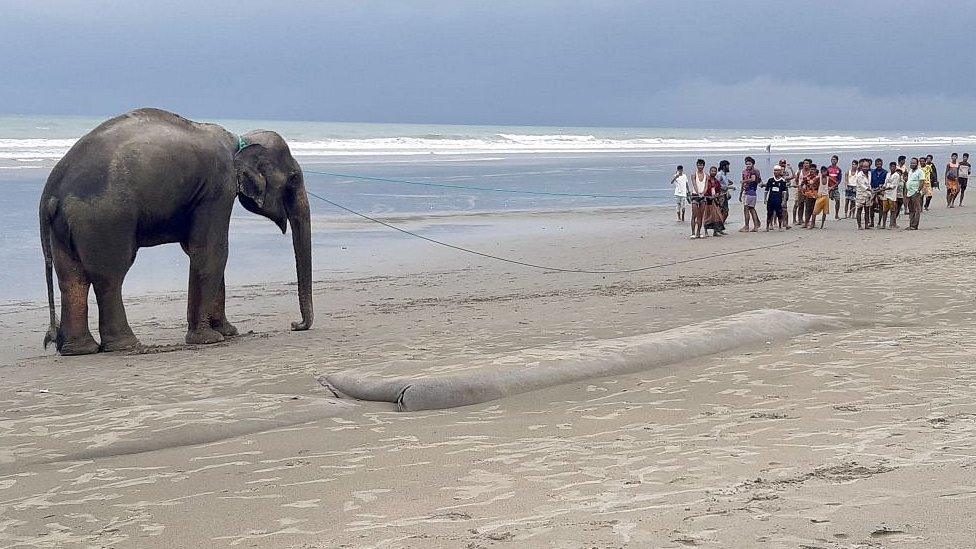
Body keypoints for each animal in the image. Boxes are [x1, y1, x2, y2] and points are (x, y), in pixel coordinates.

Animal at [37, 107, 312, 356]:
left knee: (72, 279)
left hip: (65, 229)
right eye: (294, 178)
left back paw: (79, 350)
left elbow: (204, 251)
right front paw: (209, 339)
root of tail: (51, 192)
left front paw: (227, 332)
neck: (237, 140)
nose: (295, 325)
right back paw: (126, 346)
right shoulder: (218, 186)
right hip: (104, 220)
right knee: (110, 276)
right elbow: (212, 250)